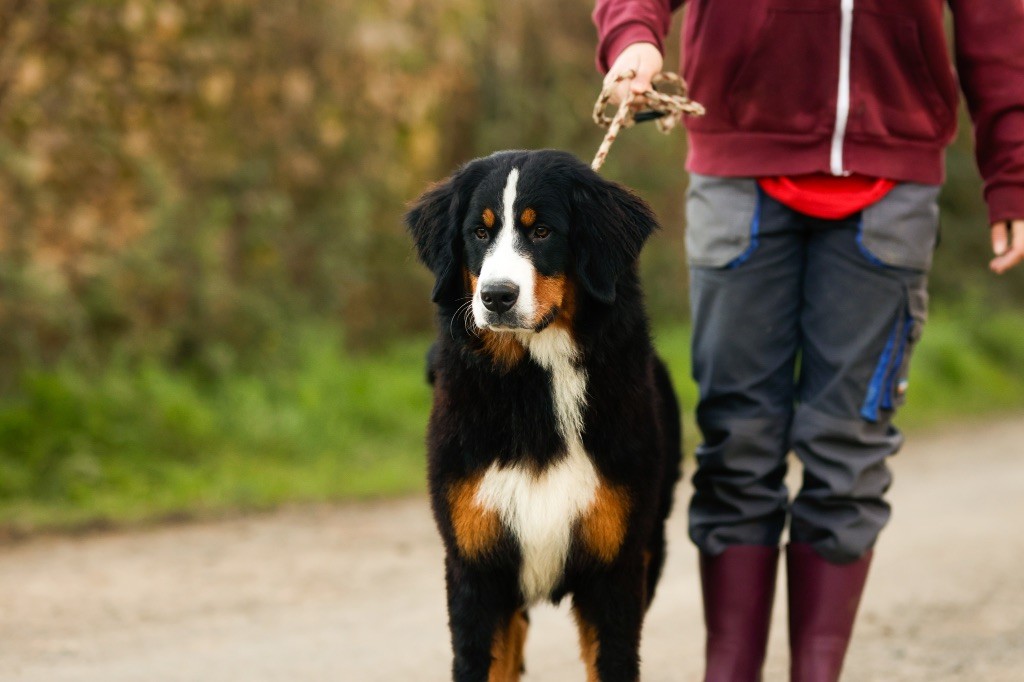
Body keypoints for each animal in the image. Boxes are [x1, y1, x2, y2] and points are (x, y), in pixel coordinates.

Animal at [405, 150, 679, 679]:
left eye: (542, 232)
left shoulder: (615, 572)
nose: (496, 296)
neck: (534, 385)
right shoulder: (476, 570)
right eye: (480, 232)